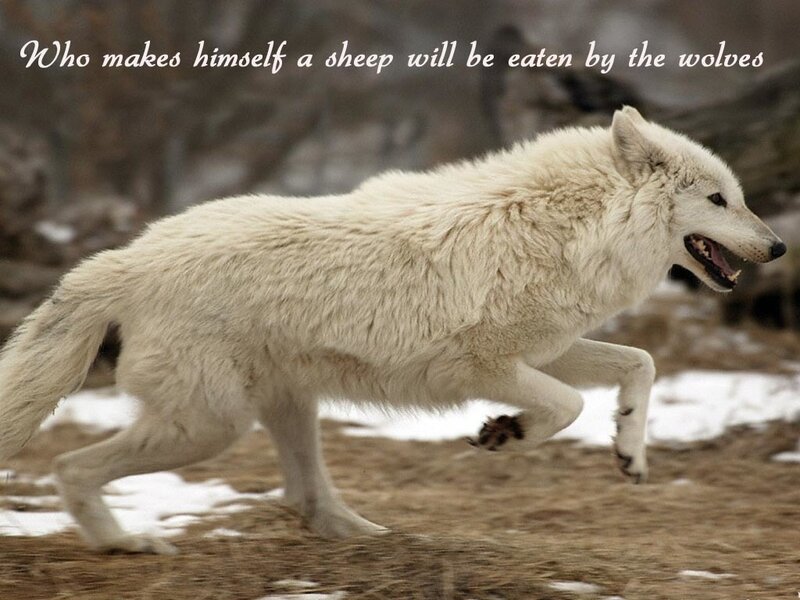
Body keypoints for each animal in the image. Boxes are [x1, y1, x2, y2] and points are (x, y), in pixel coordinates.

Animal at [0, 107, 785, 554]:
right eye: (718, 200)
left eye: (739, 197)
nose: (778, 247)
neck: (565, 229)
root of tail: (124, 259)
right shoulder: (484, 368)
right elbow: (567, 406)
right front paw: (508, 433)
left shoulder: (551, 351)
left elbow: (640, 363)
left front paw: (629, 451)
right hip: (209, 427)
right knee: (70, 468)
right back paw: (122, 546)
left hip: (280, 407)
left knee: (308, 500)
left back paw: (374, 539)